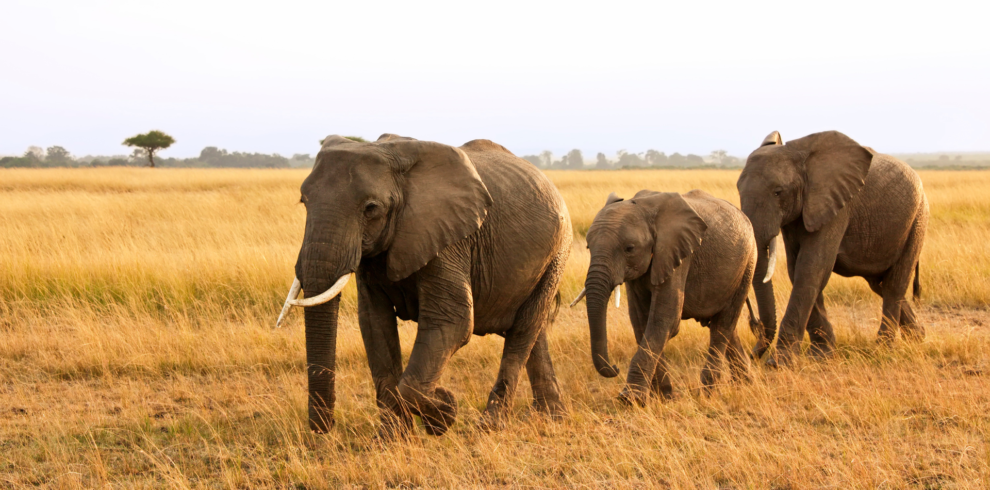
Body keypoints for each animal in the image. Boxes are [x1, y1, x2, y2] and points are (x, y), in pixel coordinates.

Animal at [280, 133, 572, 436]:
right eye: (303, 201)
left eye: (371, 209)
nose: (324, 429)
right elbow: (374, 323)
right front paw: (392, 438)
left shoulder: (448, 237)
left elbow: (452, 322)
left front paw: (443, 411)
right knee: (533, 332)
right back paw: (552, 418)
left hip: (557, 253)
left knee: (524, 330)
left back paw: (490, 426)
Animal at [576, 189, 756, 404]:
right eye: (588, 247)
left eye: (629, 248)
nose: (615, 368)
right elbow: (641, 321)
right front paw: (664, 397)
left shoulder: (678, 254)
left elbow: (664, 320)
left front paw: (630, 399)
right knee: (725, 326)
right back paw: (745, 383)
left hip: (748, 264)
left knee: (723, 325)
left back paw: (708, 392)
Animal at [740, 130, 932, 364]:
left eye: (778, 192)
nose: (753, 353)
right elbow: (797, 270)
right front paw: (822, 354)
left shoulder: (837, 208)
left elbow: (811, 268)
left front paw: (779, 363)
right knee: (880, 284)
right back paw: (918, 338)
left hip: (917, 219)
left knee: (894, 284)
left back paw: (883, 349)